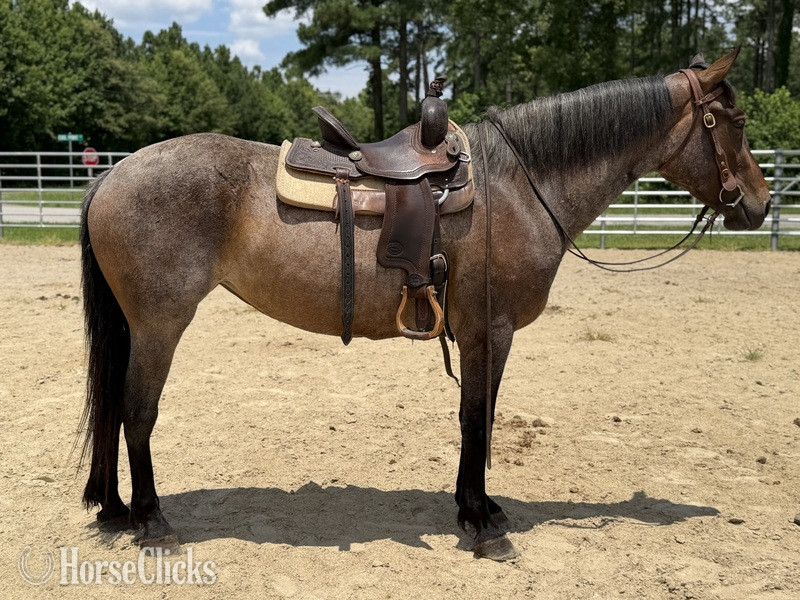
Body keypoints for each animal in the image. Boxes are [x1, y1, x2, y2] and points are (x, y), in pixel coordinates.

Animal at [78, 49, 769, 561]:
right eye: (734, 123)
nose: (761, 206)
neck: (520, 185)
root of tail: (110, 174)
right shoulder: (490, 328)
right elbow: (477, 419)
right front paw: (483, 527)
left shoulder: (479, 331)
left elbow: (477, 417)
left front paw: (477, 509)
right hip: (159, 323)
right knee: (136, 411)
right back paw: (153, 523)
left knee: (112, 408)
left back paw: (115, 510)